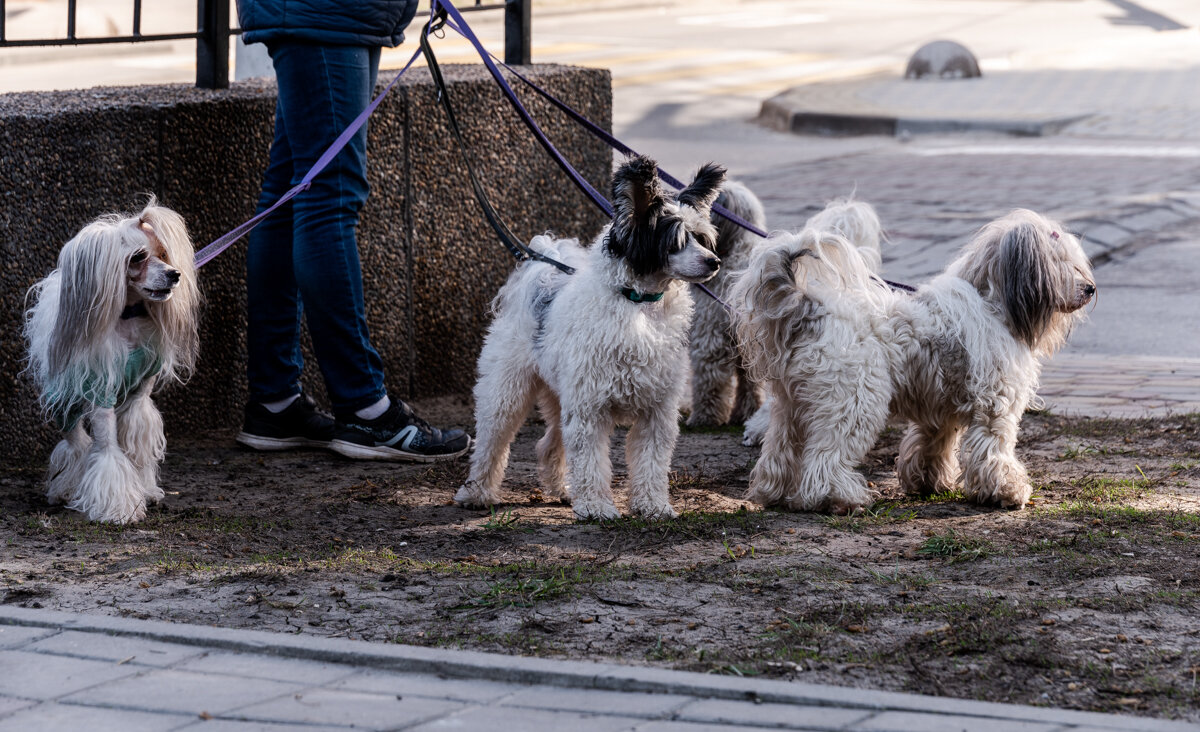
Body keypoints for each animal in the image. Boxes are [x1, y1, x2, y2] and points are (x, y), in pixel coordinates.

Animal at [22, 199, 199, 520]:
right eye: (138, 257)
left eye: (164, 253)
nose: (174, 274)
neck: (128, 316)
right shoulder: (101, 392)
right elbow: (106, 449)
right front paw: (118, 508)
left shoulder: (138, 396)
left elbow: (134, 444)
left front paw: (144, 490)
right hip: (64, 403)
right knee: (77, 444)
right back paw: (67, 488)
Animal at [453, 153, 720, 518]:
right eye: (676, 241)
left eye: (701, 238)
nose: (714, 262)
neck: (637, 303)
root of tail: (541, 273)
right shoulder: (590, 407)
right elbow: (591, 460)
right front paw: (595, 506)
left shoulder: (657, 410)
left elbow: (651, 463)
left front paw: (652, 505)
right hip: (506, 392)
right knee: (491, 442)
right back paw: (476, 492)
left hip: (559, 395)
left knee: (548, 444)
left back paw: (560, 489)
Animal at [729, 207, 1099, 511]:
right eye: (1060, 263)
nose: (1090, 288)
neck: (993, 305)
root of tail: (810, 309)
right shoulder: (996, 406)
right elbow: (994, 450)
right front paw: (1007, 491)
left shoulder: (939, 408)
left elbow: (931, 444)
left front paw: (928, 482)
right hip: (853, 402)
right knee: (826, 457)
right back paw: (838, 498)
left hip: (790, 407)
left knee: (780, 451)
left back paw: (774, 492)